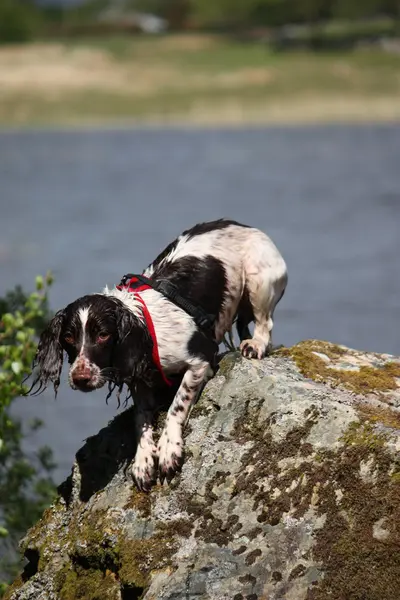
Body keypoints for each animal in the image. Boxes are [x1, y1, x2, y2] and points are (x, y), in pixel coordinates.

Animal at [31, 218, 288, 490]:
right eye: (68, 338)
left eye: (102, 335)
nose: (80, 378)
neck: (147, 330)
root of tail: (242, 224)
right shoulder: (139, 379)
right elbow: (140, 419)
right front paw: (143, 459)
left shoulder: (201, 359)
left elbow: (177, 404)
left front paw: (168, 448)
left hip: (259, 280)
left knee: (264, 323)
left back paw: (255, 344)